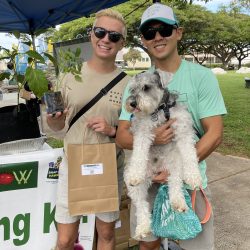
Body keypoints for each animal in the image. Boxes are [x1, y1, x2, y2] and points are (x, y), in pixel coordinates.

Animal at [124, 69, 202, 239]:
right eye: (132, 89)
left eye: (146, 87)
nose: (132, 103)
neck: (159, 109)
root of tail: (156, 171)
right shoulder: (142, 131)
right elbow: (139, 153)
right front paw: (135, 174)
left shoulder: (183, 130)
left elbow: (190, 155)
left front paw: (194, 177)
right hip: (134, 185)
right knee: (141, 204)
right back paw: (142, 228)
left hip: (176, 163)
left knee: (175, 183)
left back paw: (178, 202)